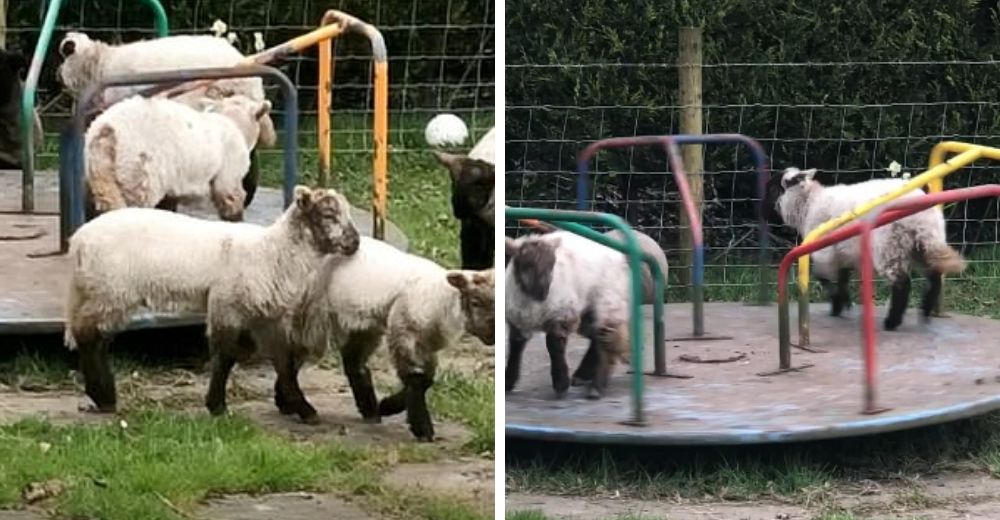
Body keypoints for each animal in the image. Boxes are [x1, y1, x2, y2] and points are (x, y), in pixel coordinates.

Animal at [63, 185, 360, 416]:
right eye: (328, 214)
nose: (355, 242)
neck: (272, 252)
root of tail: (78, 241)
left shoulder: (267, 315)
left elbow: (283, 360)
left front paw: (298, 406)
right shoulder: (226, 304)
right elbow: (226, 355)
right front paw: (217, 406)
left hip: (103, 292)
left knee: (97, 338)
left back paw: (102, 393)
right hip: (111, 290)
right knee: (87, 335)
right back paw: (103, 396)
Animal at [84, 94, 272, 220]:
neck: (235, 124)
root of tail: (107, 130)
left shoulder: (172, 185)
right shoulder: (229, 175)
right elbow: (232, 201)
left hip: (98, 173)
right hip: (137, 170)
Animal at [266, 238, 496, 440]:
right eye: (475, 302)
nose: (493, 336)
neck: (441, 299)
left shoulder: (425, 344)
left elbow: (427, 380)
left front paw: (387, 406)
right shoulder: (404, 332)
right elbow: (417, 380)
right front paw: (422, 428)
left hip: (362, 325)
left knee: (352, 364)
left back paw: (366, 410)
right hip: (309, 316)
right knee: (288, 361)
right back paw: (303, 409)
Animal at [768, 167, 964, 330]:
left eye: (774, 187)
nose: (766, 212)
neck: (810, 203)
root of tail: (923, 219)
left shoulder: (825, 253)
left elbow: (823, 276)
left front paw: (838, 303)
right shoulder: (843, 252)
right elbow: (842, 277)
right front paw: (842, 304)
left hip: (890, 246)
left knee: (903, 283)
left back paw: (892, 322)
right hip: (921, 246)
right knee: (935, 276)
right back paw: (925, 313)